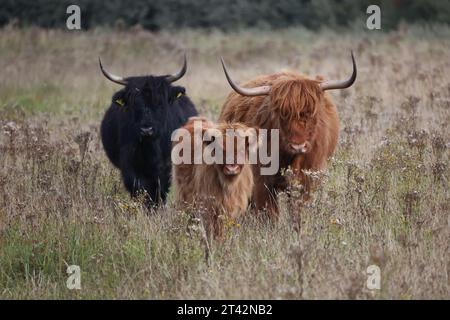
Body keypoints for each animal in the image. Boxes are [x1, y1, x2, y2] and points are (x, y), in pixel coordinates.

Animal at [99, 55, 198, 206]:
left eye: (160, 103)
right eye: (133, 103)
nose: (146, 129)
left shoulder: (166, 167)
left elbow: (160, 190)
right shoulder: (129, 167)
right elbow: (139, 189)